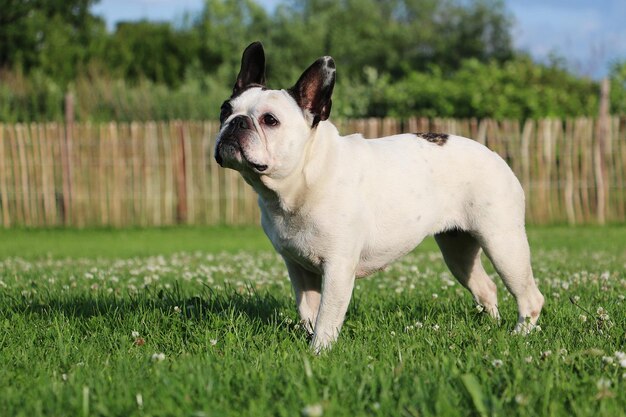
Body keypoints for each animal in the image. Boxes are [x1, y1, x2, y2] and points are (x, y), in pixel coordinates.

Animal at [213, 41, 540, 352]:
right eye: (224, 110)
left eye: (270, 120)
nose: (236, 122)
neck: (301, 180)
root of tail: (495, 155)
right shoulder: (298, 269)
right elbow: (309, 312)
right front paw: (307, 342)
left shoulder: (338, 268)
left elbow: (327, 318)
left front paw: (319, 352)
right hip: (457, 249)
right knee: (486, 288)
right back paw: (492, 327)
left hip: (502, 243)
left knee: (530, 296)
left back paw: (520, 335)